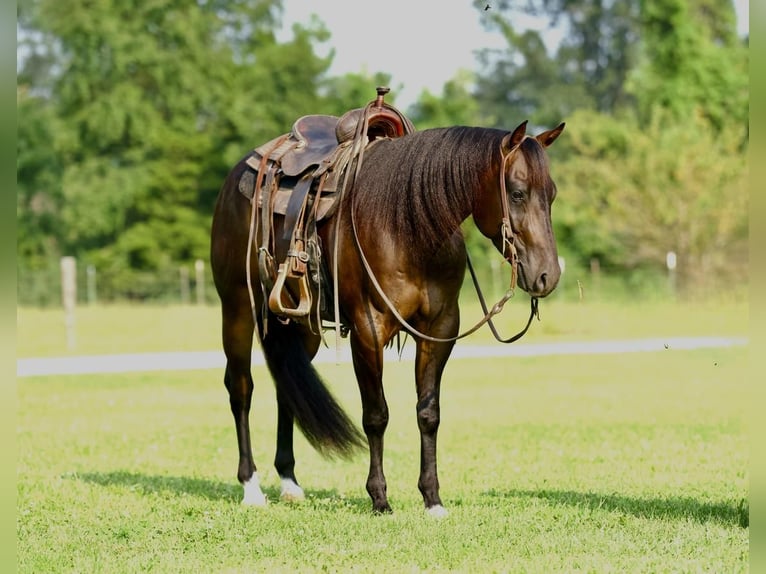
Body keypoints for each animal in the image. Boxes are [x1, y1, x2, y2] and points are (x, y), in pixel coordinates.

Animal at [208, 109, 564, 516]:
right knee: (241, 388)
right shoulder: (368, 330)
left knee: (288, 386)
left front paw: (432, 499)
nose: (547, 275)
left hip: (302, 325)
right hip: (237, 307)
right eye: (517, 193)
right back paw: (251, 487)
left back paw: (289, 483)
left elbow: (428, 413)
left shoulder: (440, 329)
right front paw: (379, 497)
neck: (406, 226)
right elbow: (376, 415)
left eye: (551, 194)